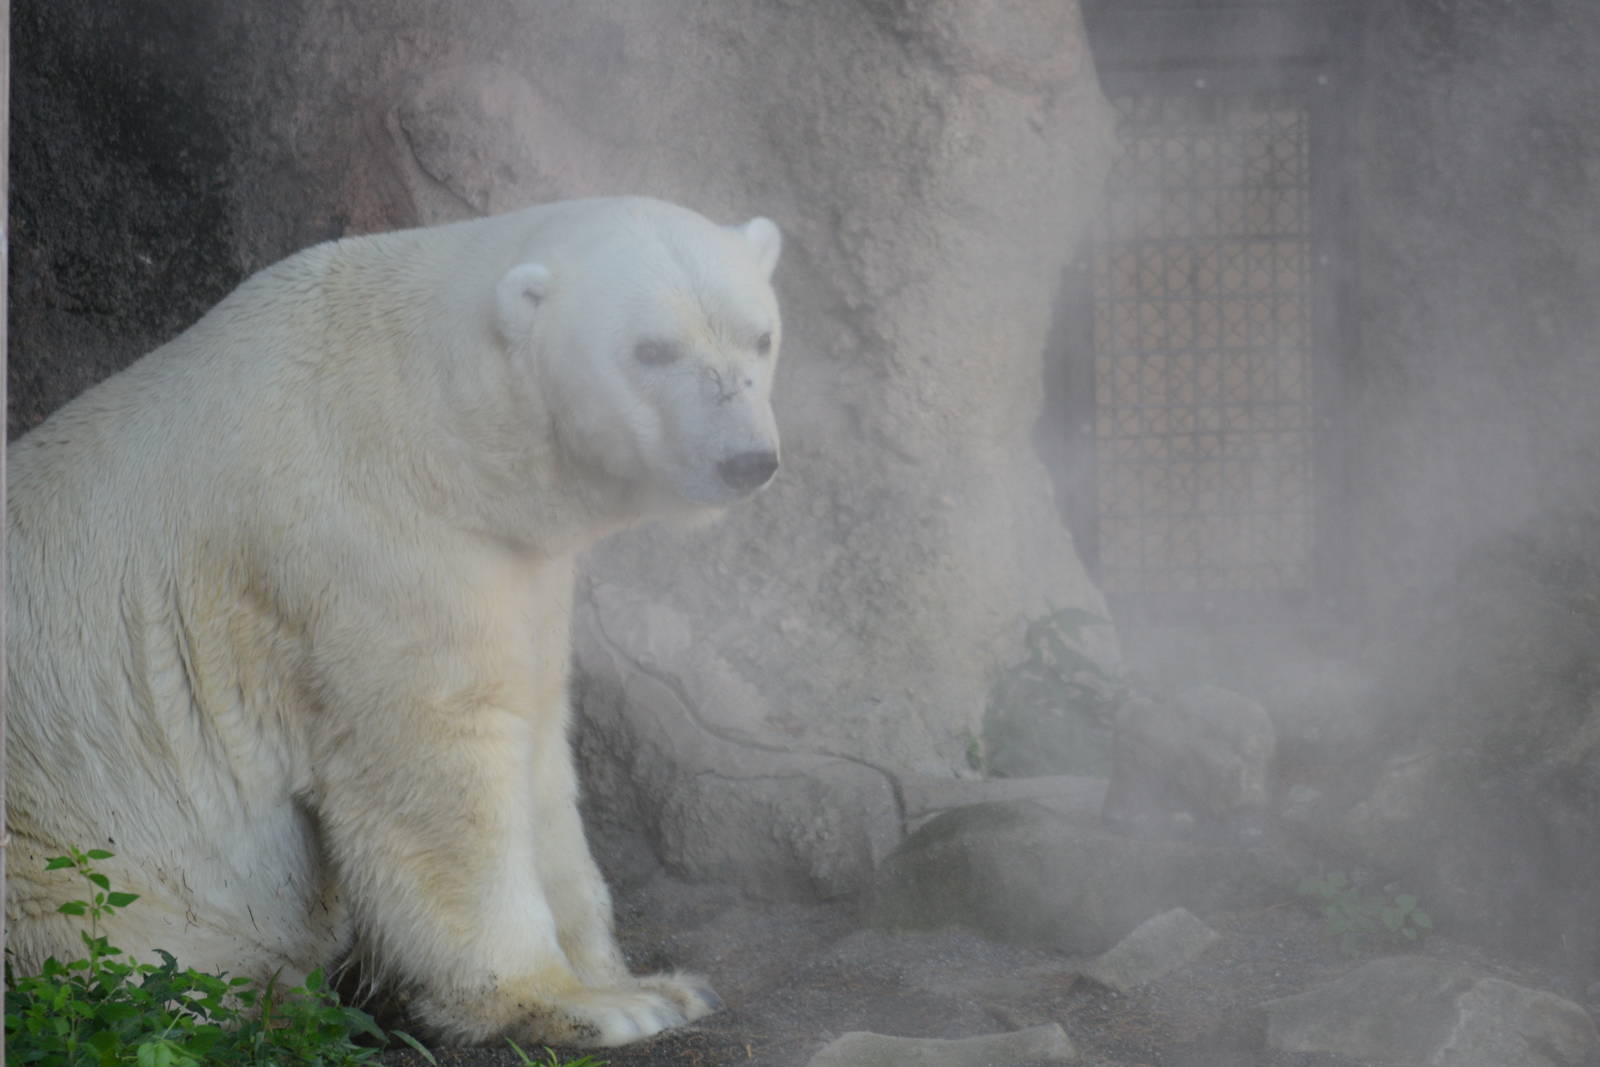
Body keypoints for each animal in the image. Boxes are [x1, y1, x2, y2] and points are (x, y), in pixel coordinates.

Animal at [5, 196, 783, 1047]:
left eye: (762, 336)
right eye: (651, 348)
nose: (748, 459)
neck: (435, 418)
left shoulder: (518, 564)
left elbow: (540, 745)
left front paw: (651, 982)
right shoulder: (369, 541)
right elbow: (439, 756)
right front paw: (582, 1003)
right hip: (52, 853)